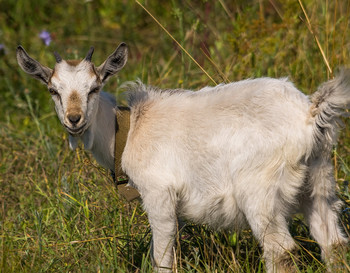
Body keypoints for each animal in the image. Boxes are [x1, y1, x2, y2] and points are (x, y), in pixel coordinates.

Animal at [17, 43, 350, 270]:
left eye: (94, 88)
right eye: (53, 90)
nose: (74, 119)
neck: (129, 130)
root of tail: (309, 115)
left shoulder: (158, 194)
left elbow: (162, 257)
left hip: (261, 193)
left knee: (280, 250)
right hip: (319, 180)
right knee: (332, 242)